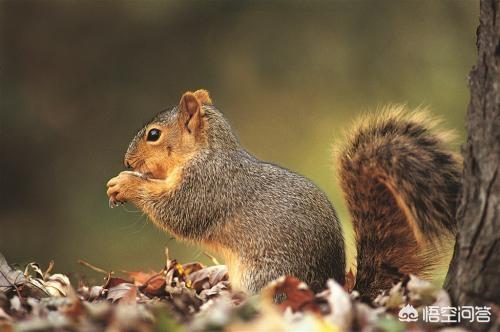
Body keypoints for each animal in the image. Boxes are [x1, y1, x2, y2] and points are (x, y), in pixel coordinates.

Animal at [107, 89, 462, 300]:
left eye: (154, 135)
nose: (126, 161)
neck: (207, 151)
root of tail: (326, 289)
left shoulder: (206, 185)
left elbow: (177, 212)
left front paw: (125, 183)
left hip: (265, 276)